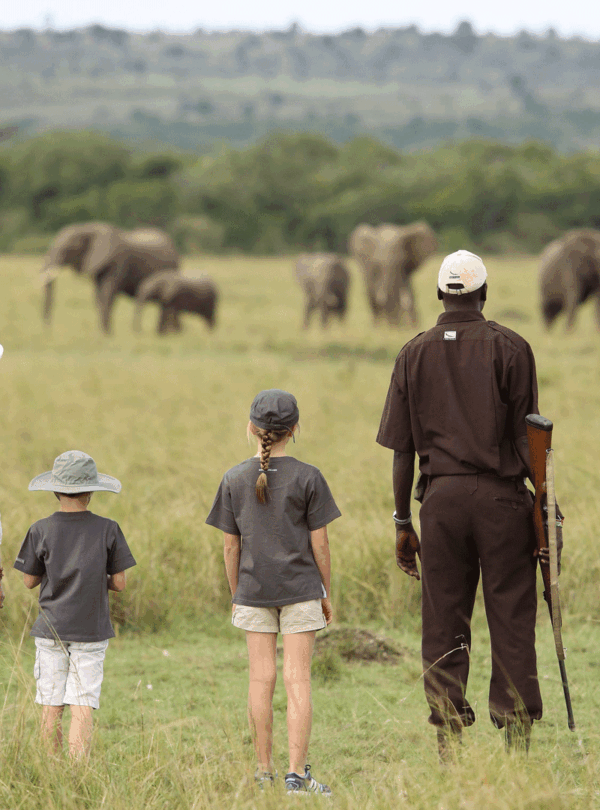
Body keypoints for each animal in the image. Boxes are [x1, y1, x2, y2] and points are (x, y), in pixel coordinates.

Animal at [40, 221, 180, 332]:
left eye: (67, 250)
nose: (48, 332)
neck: (88, 227)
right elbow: (98, 296)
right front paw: (102, 334)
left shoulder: (118, 263)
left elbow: (107, 293)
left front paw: (107, 335)